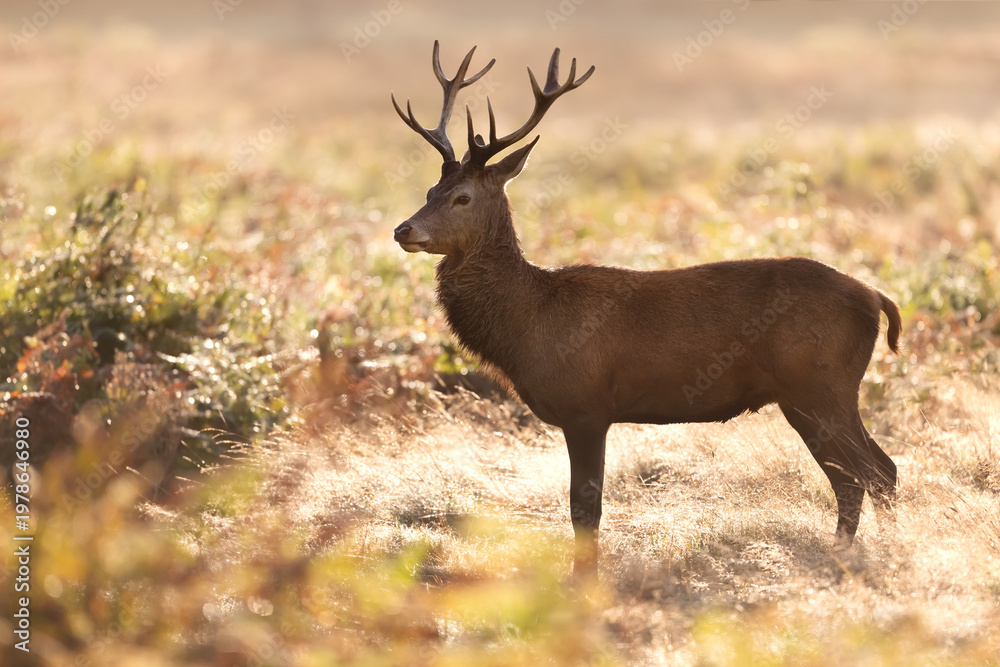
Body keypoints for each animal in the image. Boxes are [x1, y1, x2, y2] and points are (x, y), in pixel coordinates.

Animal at [390, 41, 901, 573]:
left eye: (462, 197)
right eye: (429, 191)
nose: (403, 229)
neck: (530, 322)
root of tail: (877, 298)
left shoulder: (587, 405)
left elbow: (585, 509)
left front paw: (584, 581)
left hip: (817, 383)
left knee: (867, 474)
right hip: (824, 391)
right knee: (873, 471)